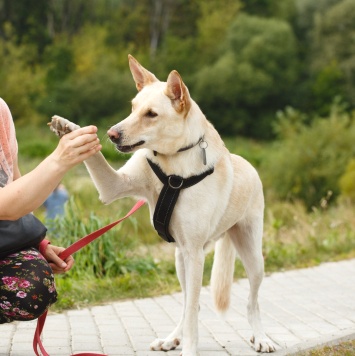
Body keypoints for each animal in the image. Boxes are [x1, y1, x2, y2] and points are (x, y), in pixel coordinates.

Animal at [50, 54, 276, 354]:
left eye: (151, 114)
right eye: (133, 108)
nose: (111, 134)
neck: (173, 165)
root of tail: (249, 165)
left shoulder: (195, 253)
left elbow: (194, 312)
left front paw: (190, 349)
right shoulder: (114, 186)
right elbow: (95, 156)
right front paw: (69, 129)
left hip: (250, 256)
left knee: (249, 302)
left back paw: (260, 337)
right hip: (180, 259)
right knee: (189, 305)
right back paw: (172, 338)